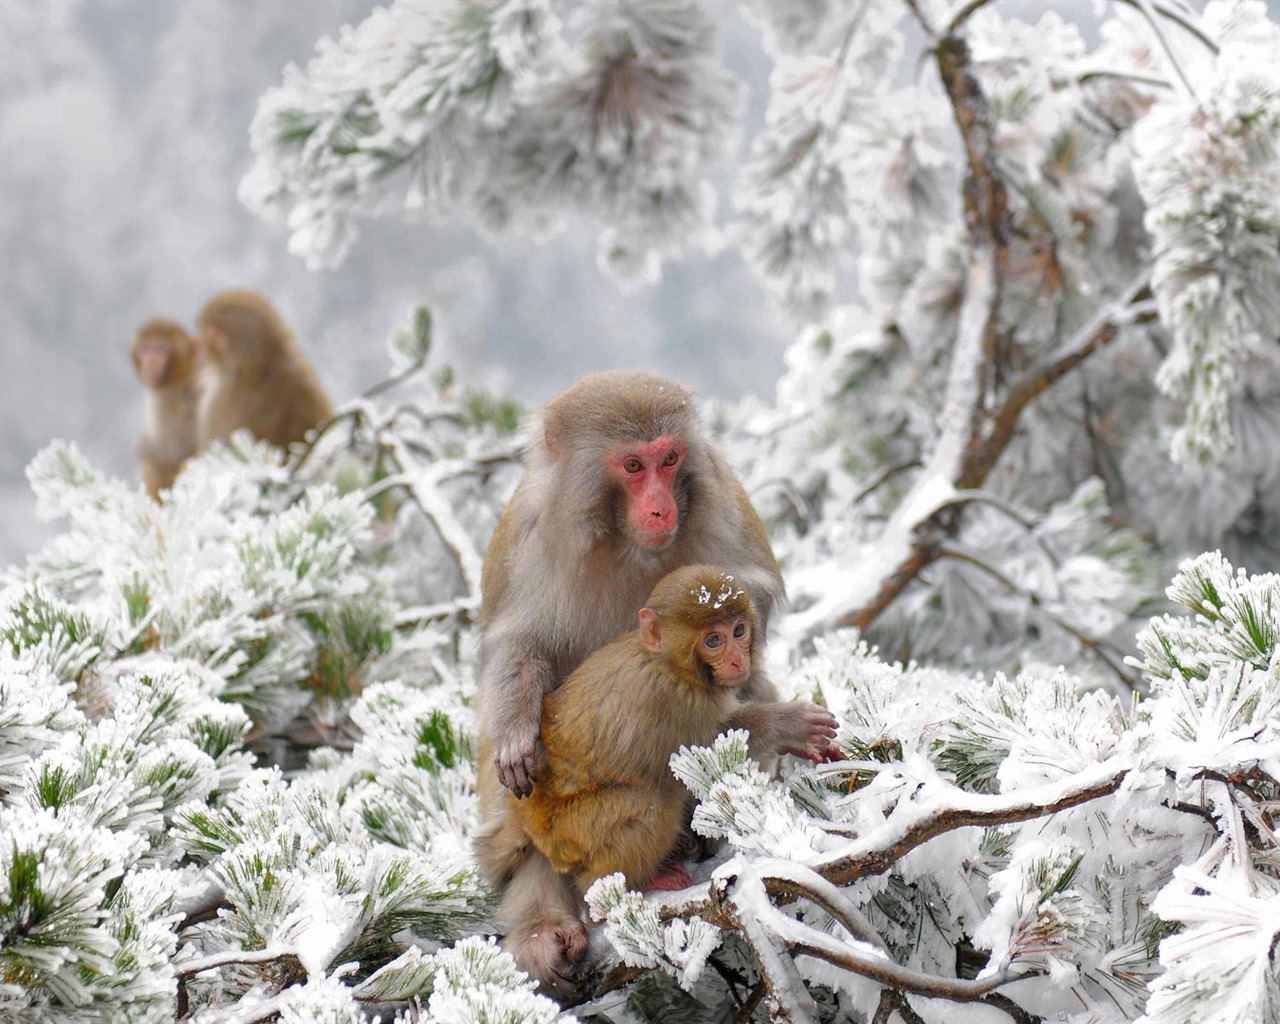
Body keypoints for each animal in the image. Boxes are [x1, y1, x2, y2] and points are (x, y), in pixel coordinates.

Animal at [476, 371, 783, 803]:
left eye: (670, 459)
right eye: (634, 465)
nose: (661, 510)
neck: (625, 545)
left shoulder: (722, 498)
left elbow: (755, 591)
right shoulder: (526, 538)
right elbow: (516, 640)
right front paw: (514, 731)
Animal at [478, 563, 839, 998]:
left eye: (738, 631)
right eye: (713, 640)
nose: (738, 660)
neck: (668, 664)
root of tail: (529, 819)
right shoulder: (675, 702)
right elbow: (710, 745)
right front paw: (789, 725)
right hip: (573, 829)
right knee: (650, 802)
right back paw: (627, 886)